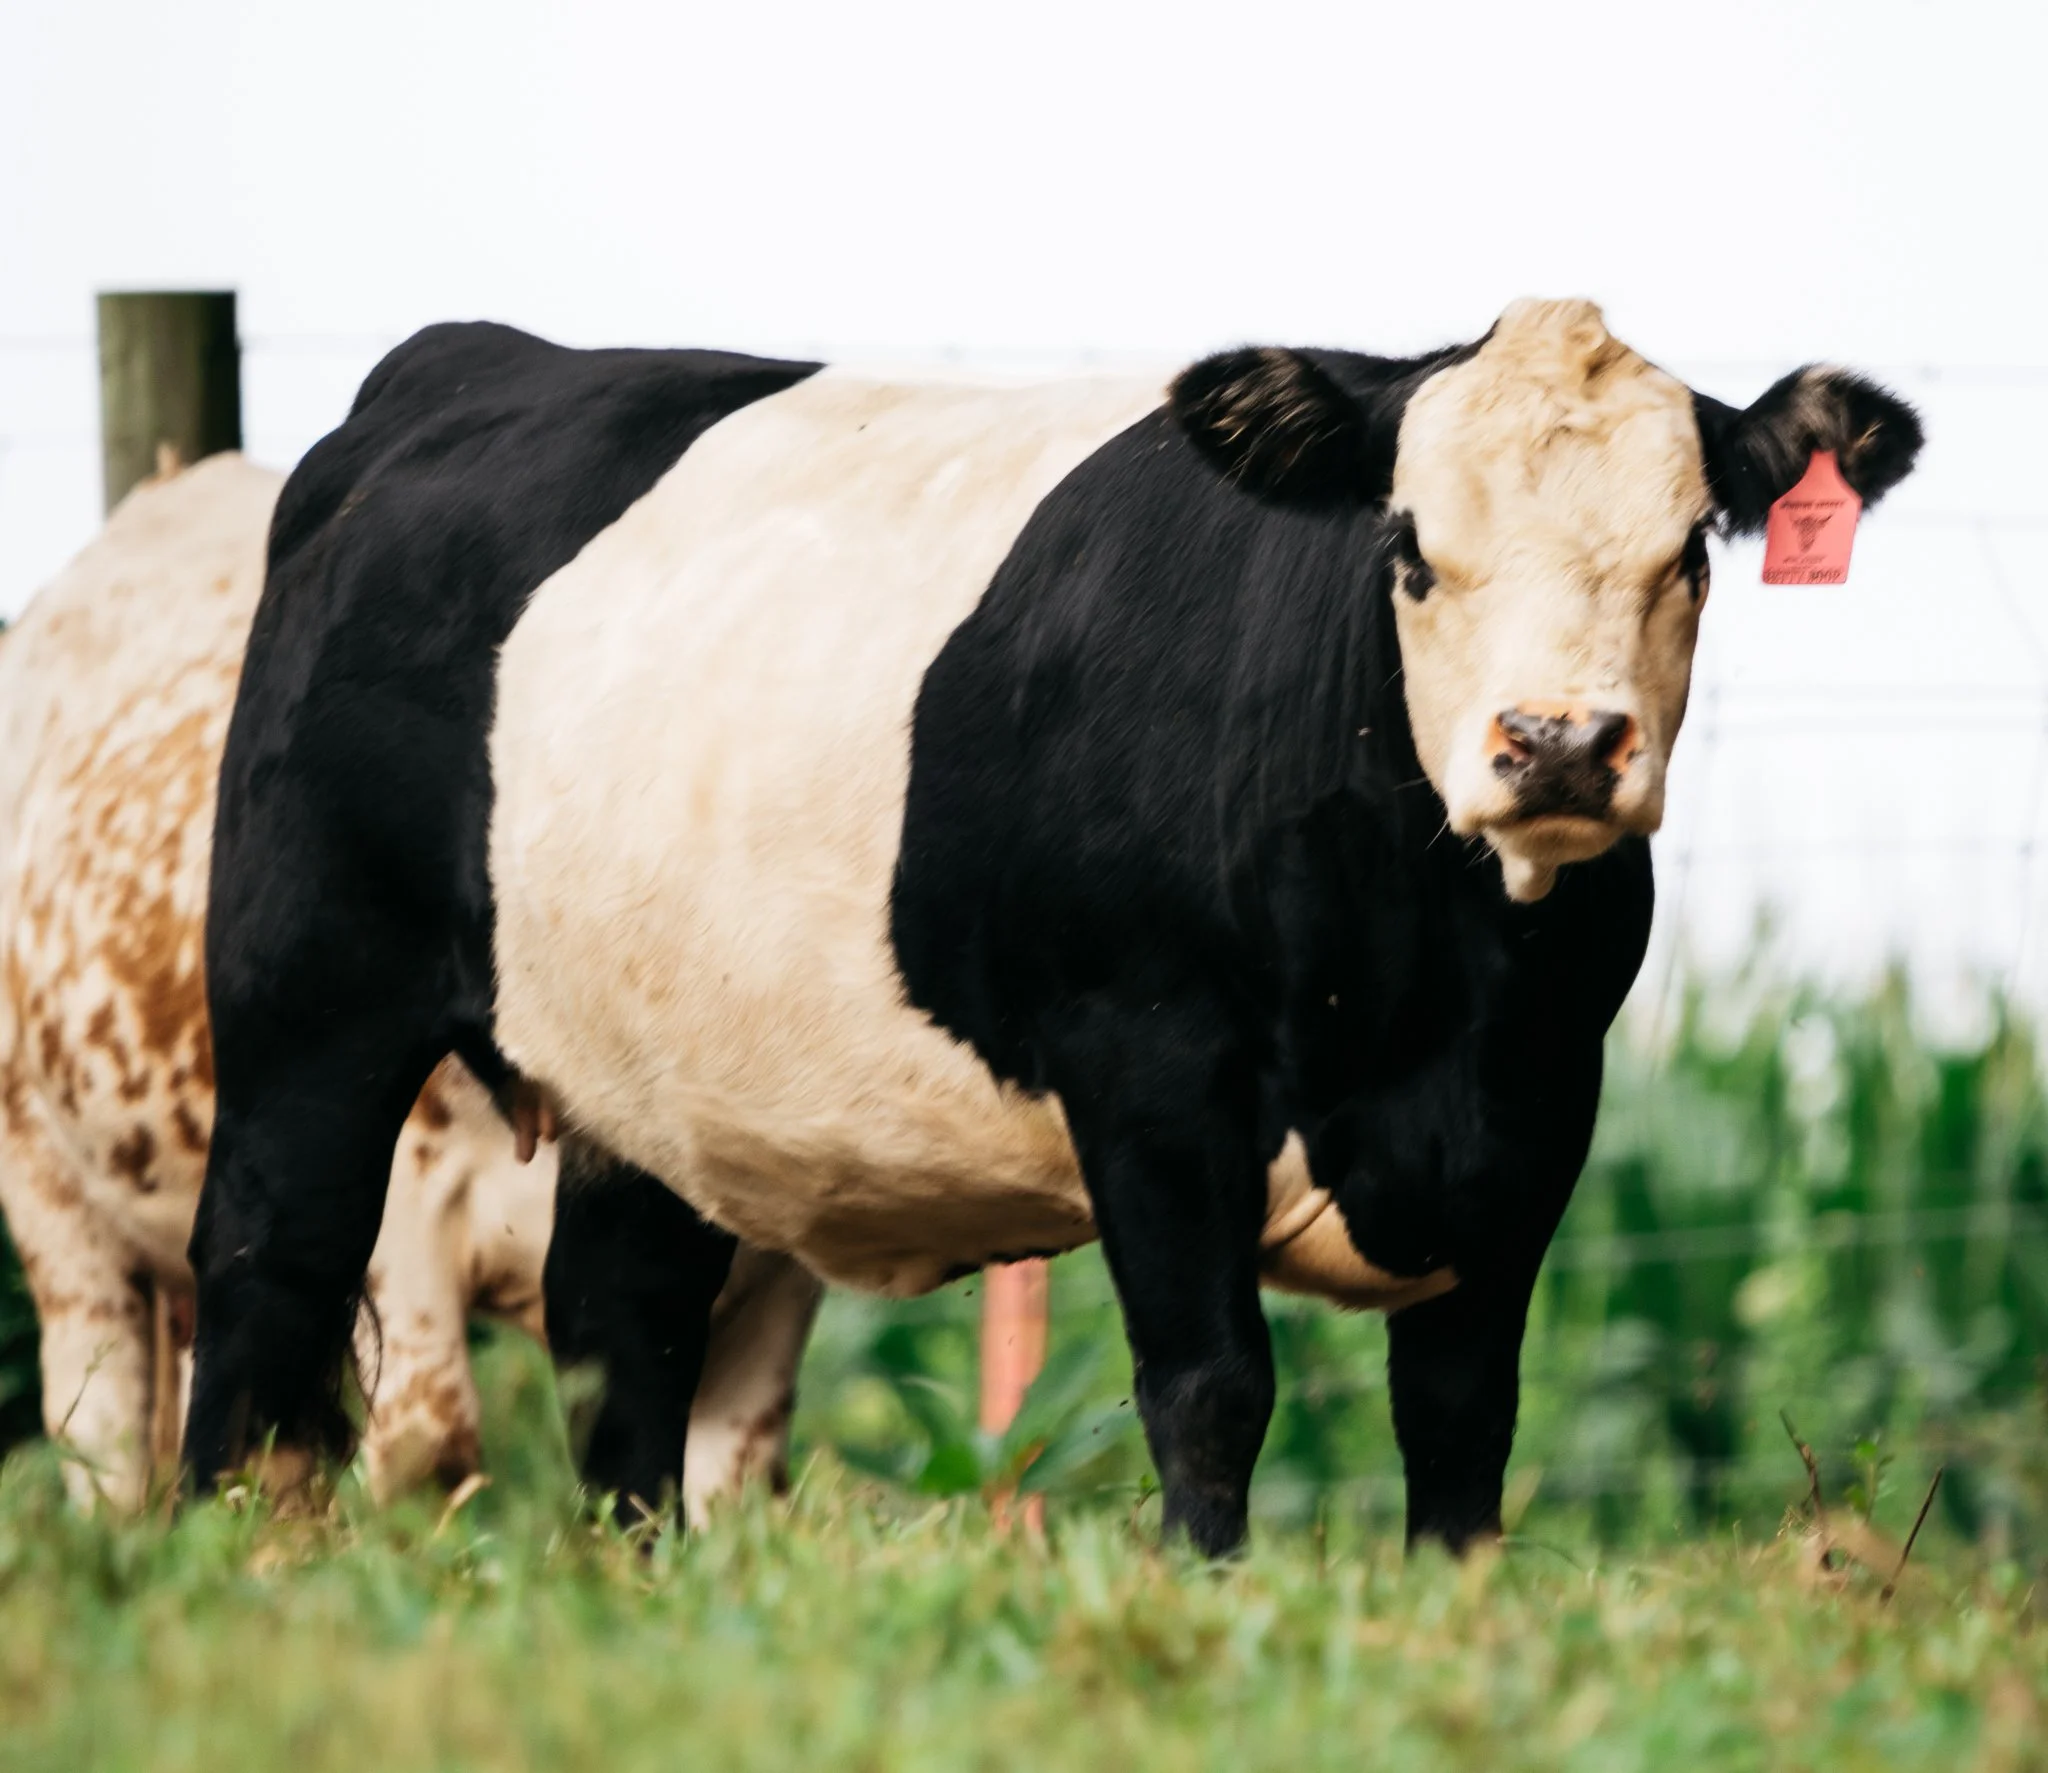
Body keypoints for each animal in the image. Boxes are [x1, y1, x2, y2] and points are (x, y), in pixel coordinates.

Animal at [0, 455, 822, 1513]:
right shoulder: (399, 1205)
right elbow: (431, 1447)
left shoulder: (772, 1262)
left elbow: (735, 1475)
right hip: (46, 1181)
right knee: (97, 1427)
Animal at [180, 301, 1921, 1554]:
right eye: (1412, 548)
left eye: (1687, 551)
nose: (1557, 742)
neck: (1437, 985)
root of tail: (459, 362)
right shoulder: (1151, 1067)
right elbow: (1212, 1384)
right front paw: (1208, 1597)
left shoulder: (1542, 1102)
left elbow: (1460, 1406)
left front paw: (1456, 1601)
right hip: (307, 989)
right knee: (267, 1255)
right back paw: (217, 1555)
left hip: (638, 1062)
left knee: (623, 1318)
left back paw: (635, 1574)